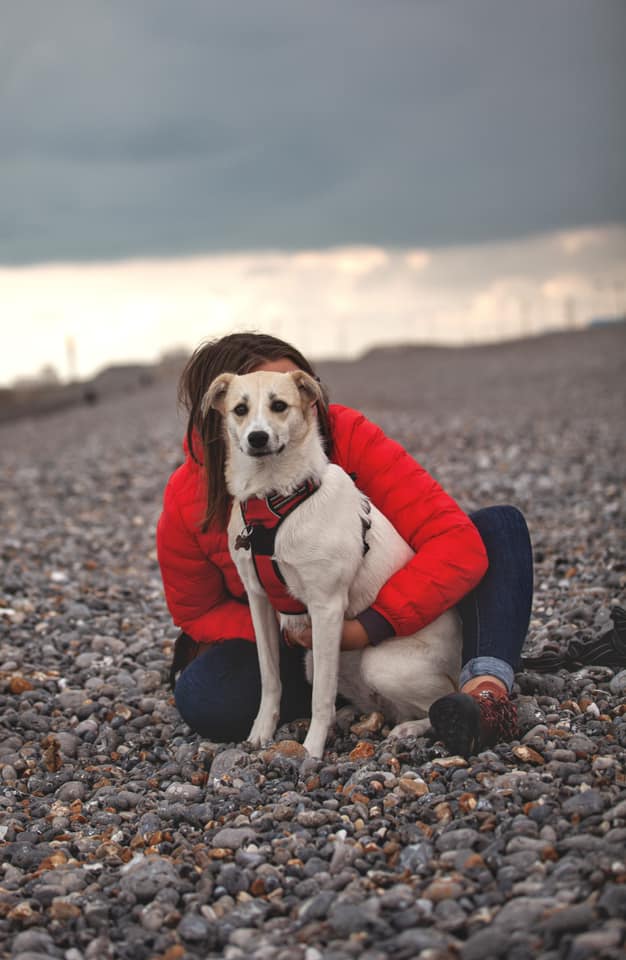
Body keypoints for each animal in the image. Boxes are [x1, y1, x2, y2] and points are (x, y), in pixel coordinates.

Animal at [202, 372, 460, 760]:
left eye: (279, 405)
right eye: (240, 409)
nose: (257, 438)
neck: (275, 499)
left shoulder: (326, 607)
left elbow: (320, 698)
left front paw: (311, 749)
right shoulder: (258, 599)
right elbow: (270, 678)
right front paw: (262, 732)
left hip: (384, 664)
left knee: (443, 700)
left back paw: (408, 728)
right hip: (317, 663)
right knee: (373, 704)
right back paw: (352, 715)